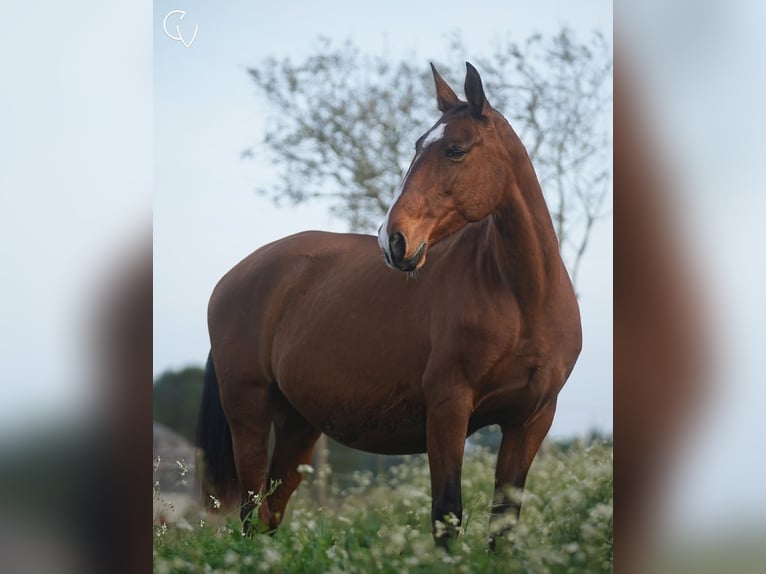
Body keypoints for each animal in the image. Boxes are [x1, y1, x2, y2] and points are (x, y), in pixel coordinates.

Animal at [198, 62, 584, 548]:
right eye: (418, 146)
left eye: (455, 150)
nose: (393, 239)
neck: (524, 299)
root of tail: (232, 277)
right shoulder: (448, 409)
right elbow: (447, 515)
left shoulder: (531, 419)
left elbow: (503, 523)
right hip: (247, 409)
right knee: (251, 514)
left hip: (297, 425)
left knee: (269, 513)